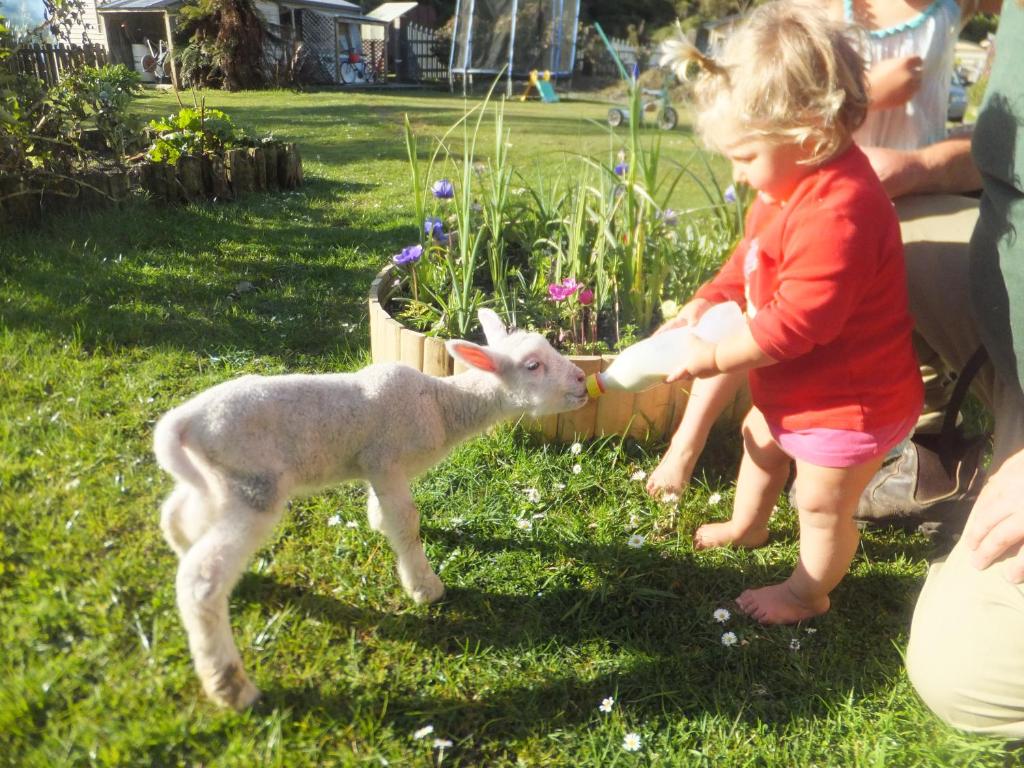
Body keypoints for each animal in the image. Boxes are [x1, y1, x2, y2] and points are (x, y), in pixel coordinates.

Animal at [150, 309, 585, 712]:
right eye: (533, 365)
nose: (582, 380)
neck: (442, 406)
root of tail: (184, 421)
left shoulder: (377, 467)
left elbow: (387, 510)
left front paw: (377, 522)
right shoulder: (385, 458)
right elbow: (407, 522)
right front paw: (424, 588)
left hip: (218, 480)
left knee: (175, 514)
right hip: (255, 483)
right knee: (199, 580)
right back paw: (230, 686)